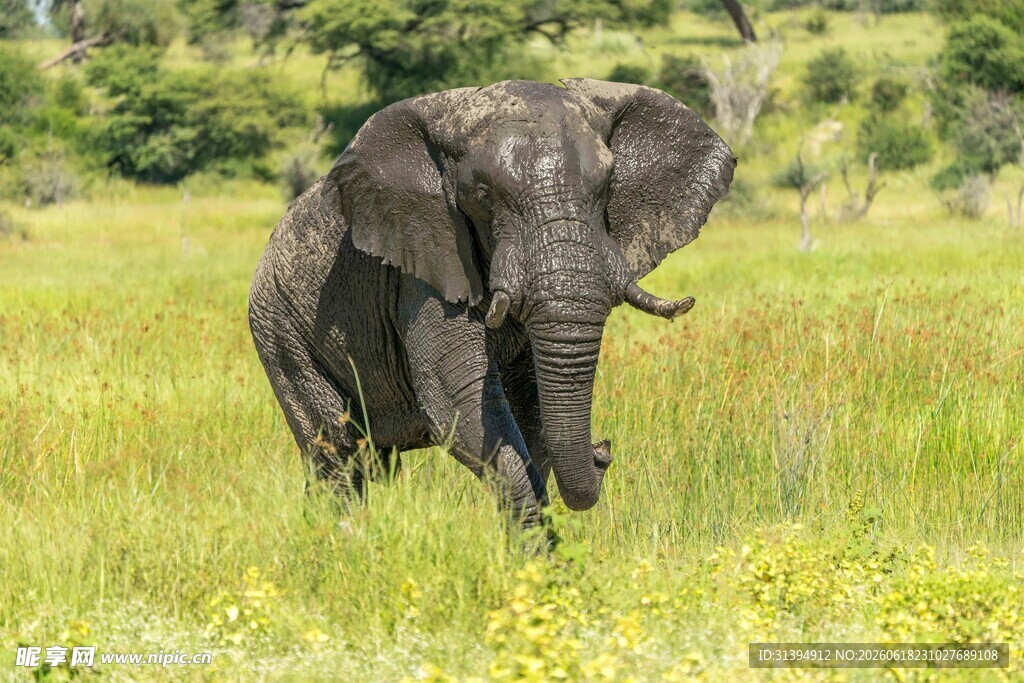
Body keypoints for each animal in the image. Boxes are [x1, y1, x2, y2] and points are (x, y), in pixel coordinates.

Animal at [248, 79, 735, 529]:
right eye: (482, 197)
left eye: (607, 187)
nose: (604, 451)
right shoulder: (425, 266)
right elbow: (460, 403)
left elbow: (532, 421)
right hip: (280, 334)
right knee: (338, 454)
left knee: (367, 463)